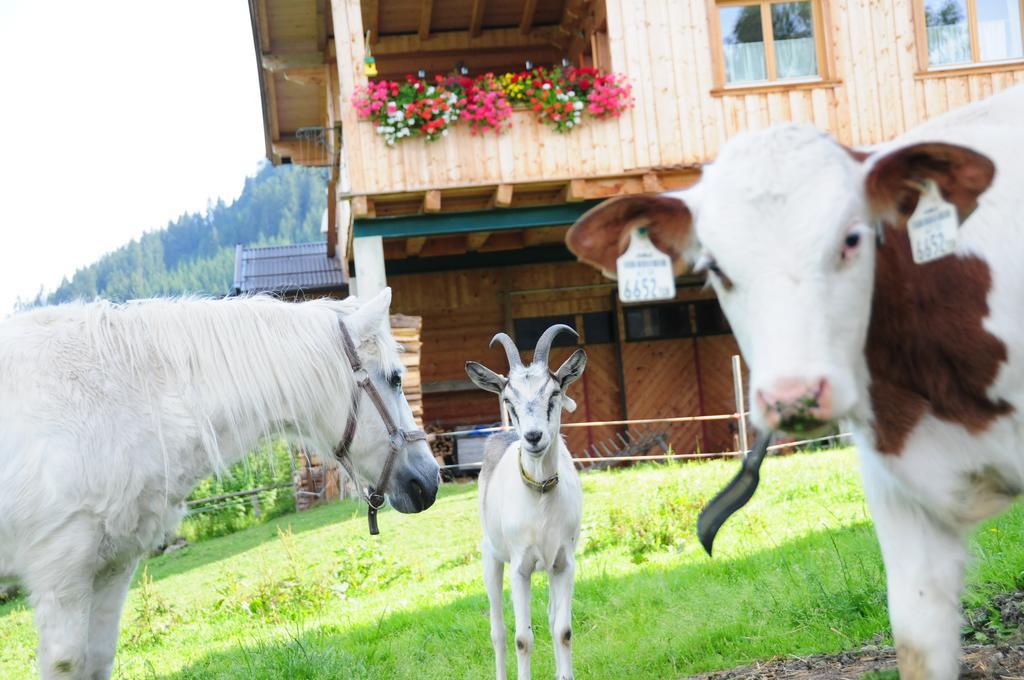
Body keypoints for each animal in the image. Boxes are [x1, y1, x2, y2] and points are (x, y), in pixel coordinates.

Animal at [0, 288, 436, 680]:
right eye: (395, 379)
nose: (429, 481)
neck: (114, 402)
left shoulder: (111, 568)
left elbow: (98, 659)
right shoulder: (63, 576)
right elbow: (69, 663)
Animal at [468, 323, 589, 680]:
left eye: (554, 393)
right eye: (509, 400)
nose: (533, 437)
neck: (540, 498)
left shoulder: (564, 563)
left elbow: (563, 630)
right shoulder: (519, 569)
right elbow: (522, 638)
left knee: (550, 617)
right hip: (491, 558)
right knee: (498, 631)